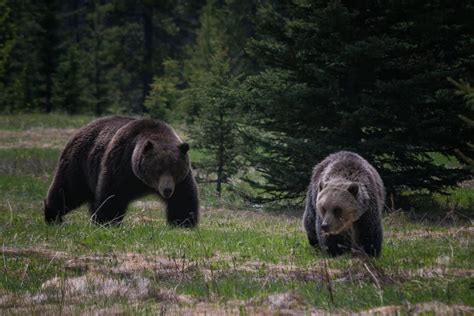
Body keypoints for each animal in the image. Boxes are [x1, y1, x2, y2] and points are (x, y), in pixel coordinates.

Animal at [43, 116, 199, 227]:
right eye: (158, 170)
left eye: (175, 170)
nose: (167, 190)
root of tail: (81, 129)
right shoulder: (121, 164)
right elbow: (112, 195)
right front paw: (107, 221)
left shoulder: (181, 180)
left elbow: (182, 198)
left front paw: (183, 222)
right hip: (79, 163)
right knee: (67, 190)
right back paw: (52, 216)